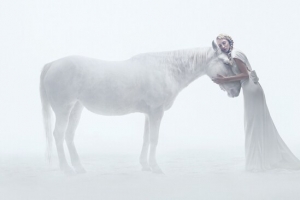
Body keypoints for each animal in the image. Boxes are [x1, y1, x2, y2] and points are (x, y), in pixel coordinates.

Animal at [39, 41, 241, 173]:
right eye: (226, 63)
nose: (236, 90)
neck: (166, 69)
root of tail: (53, 64)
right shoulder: (156, 112)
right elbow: (154, 139)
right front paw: (155, 167)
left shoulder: (148, 114)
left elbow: (145, 139)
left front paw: (145, 165)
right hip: (64, 109)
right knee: (58, 135)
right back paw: (66, 168)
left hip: (76, 109)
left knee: (68, 136)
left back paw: (79, 167)